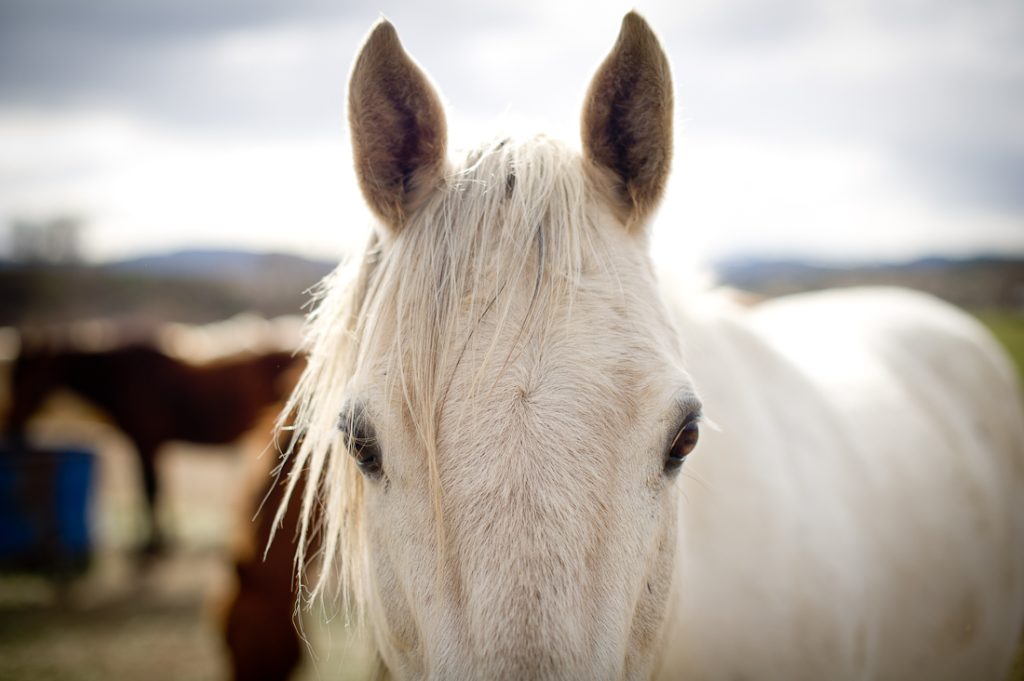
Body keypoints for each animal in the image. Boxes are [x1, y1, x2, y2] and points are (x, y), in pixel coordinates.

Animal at [5, 341, 302, 554]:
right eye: (13, 373)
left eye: (31, 374)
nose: (11, 420)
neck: (123, 378)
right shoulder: (151, 445)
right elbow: (155, 488)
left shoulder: (145, 442)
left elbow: (149, 489)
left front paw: (153, 544)